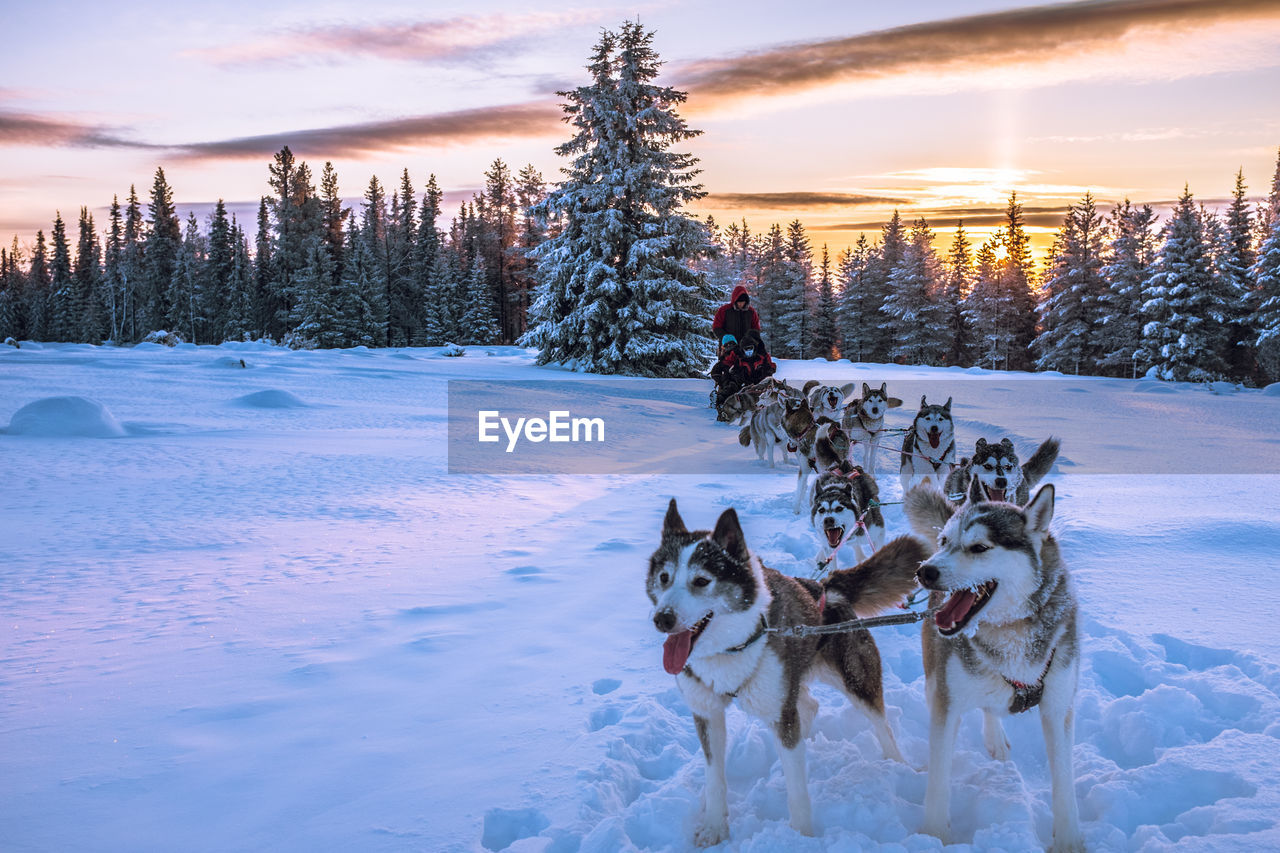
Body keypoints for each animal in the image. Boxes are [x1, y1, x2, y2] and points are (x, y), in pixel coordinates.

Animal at [650, 499, 921, 845]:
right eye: (664, 577)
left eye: (701, 581)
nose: (662, 619)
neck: (731, 646)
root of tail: (825, 586)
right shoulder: (707, 712)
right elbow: (714, 777)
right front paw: (714, 827)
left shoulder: (780, 709)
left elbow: (797, 790)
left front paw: (802, 836)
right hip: (791, 684)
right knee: (808, 707)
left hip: (855, 679)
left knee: (880, 723)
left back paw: (901, 766)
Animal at [906, 481, 1085, 845]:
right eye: (944, 541)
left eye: (979, 547)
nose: (924, 571)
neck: (1010, 631)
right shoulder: (947, 703)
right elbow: (939, 780)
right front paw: (934, 835)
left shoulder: (1058, 706)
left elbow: (1064, 782)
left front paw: (1070, 840)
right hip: (936, 679)